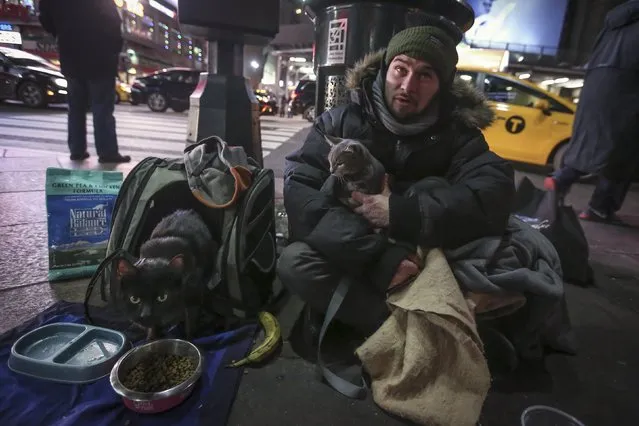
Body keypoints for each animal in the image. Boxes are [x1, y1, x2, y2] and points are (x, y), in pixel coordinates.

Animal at [117, 210, 220, 340]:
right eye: (134, 299)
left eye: (163, 297)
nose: (145, 315)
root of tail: (187, 211)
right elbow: (153, 327)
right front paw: (152, 338)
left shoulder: (193, 298)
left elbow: (190, 325)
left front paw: (189, 339)